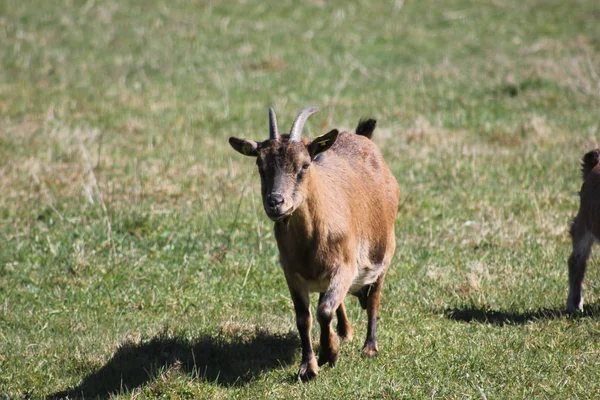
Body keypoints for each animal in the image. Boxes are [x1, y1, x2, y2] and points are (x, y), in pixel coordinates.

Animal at [229, 107, 398, 382]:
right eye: (259, 165)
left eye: (305, 165)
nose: (275, 202)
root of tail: (363, 138)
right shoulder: (292, 273)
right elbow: (304, 318)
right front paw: (309, 366)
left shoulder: (346, 265)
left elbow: (324, 310)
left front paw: (330, 353)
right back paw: (345, 332)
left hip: (383, 250)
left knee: (374, 297)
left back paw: (369, 347)